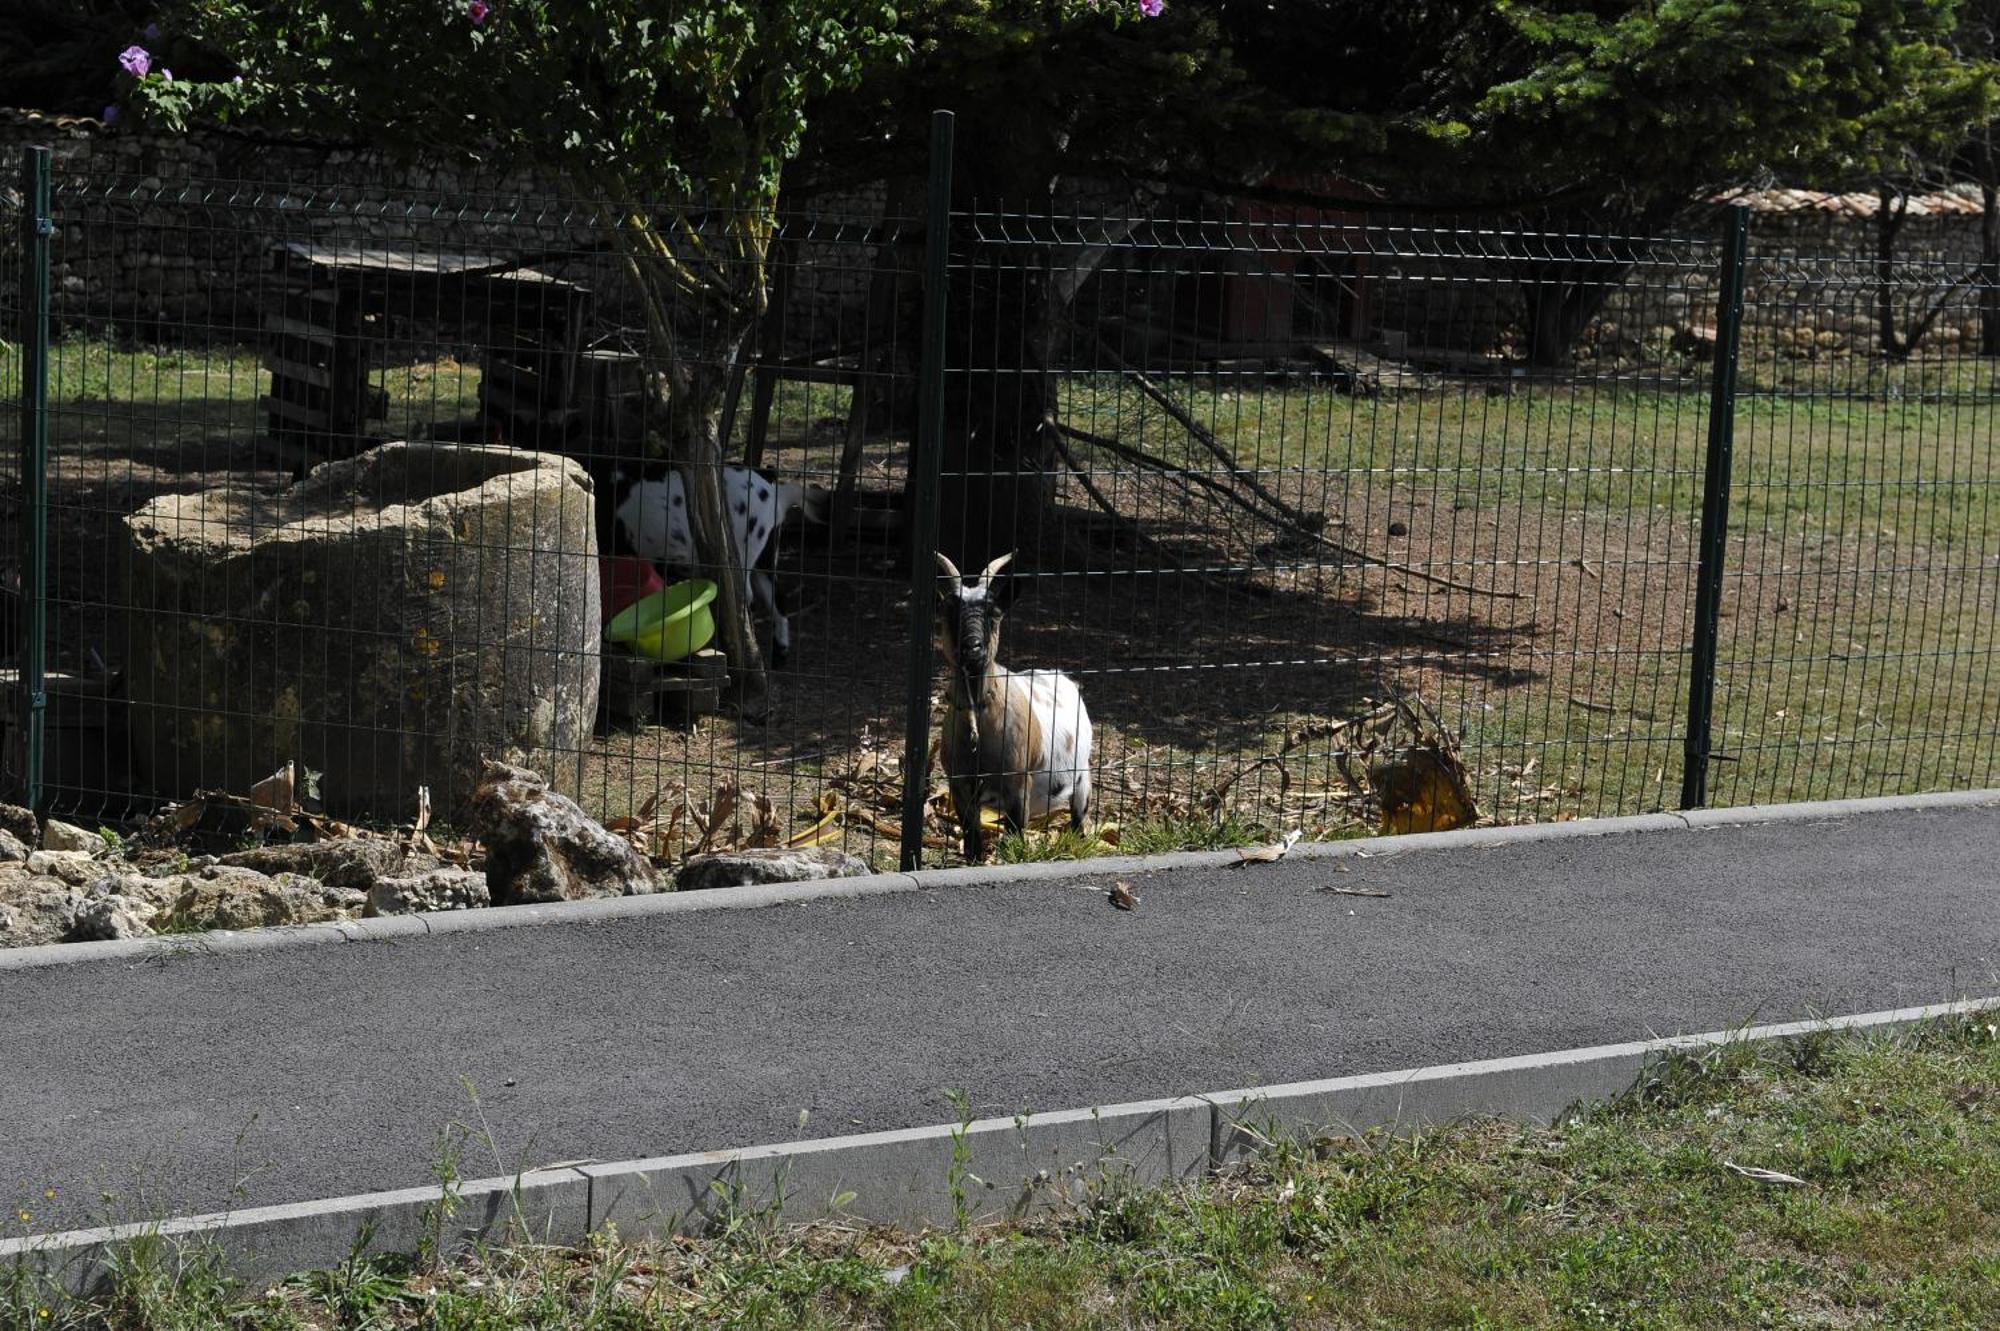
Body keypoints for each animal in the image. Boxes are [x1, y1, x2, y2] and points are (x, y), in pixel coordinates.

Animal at [608, 465, 828, 667]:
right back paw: (778, 657)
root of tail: (777, 495)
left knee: (747, 599)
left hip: (746, 553)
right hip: (765, 557)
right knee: (777, 599)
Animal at [932, 547, 1096, 859]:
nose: (972, 648)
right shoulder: (959, 786)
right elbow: (973, 845)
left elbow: (1012, 842)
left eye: (994, 614)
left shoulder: (1018, 786)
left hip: (1081, 779)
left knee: (1078, 823)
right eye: (948, 611)